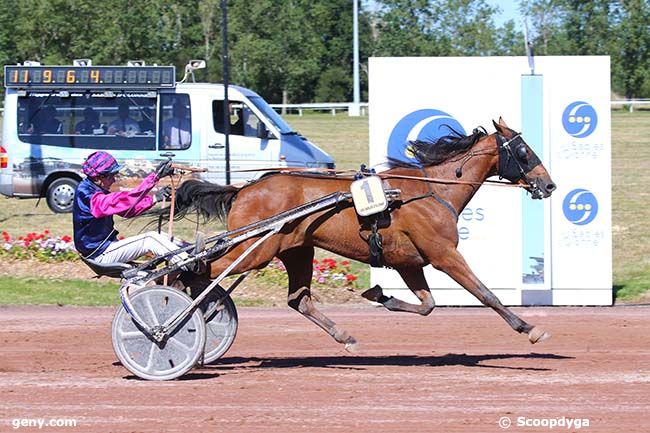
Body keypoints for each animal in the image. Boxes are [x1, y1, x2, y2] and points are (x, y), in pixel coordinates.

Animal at [170, 118, 556, 352]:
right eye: (524, 151)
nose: (549, 184)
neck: (433, 191)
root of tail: (245, 188)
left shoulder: (409, 262)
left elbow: (427, 305)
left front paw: (379, 295)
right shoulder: (444, 255)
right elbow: (485, 293)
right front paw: (528, 328)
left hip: (295, 250)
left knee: (298, 300)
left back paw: (345, 336)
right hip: (254, 249)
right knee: (198, 268)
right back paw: (173, 304)